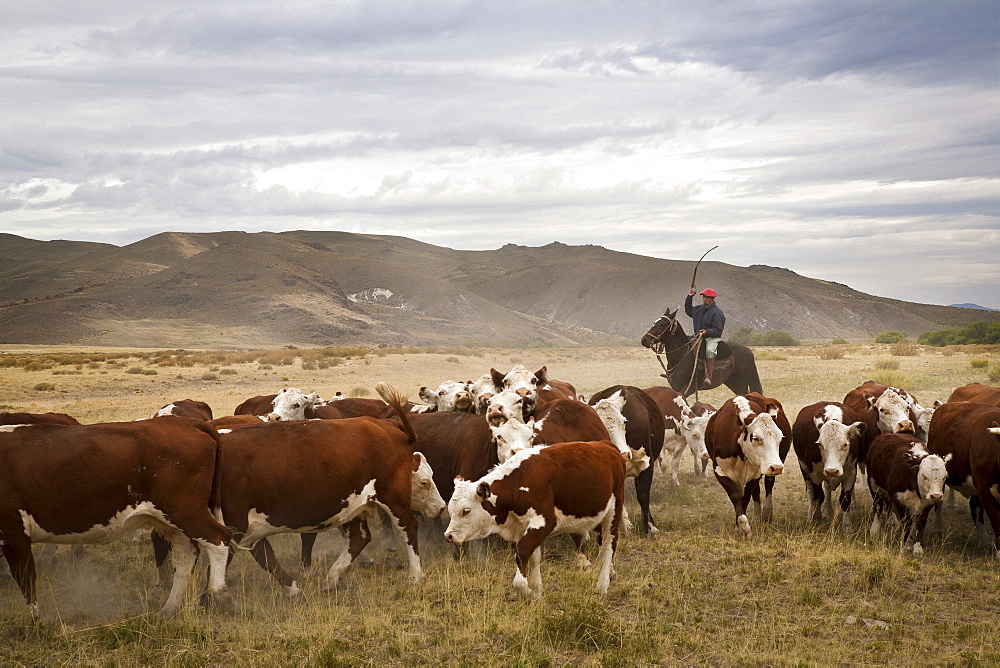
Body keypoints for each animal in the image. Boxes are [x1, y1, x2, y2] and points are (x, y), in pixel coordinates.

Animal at [0, 420, 232, 620]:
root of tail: (187, 422)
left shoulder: (13, 533)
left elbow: (26, 580)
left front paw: (36, 622)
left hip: (184, 512)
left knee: (219, 539)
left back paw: (218, 594)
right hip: (170, 520)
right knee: (186, 554)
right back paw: (169, 609)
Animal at [446, 440, 624, 596]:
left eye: (466, 510)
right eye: (450, 510)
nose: (448, 536)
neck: (518, 483)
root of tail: (607, 445)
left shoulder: (544, 522)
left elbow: (522, 553)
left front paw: (526, 591)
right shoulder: (523, 527)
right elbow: (534, 557)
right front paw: (537, 590)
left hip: (614, 512)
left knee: (609, 544)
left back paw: (602, 585)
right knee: (602, 542)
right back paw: (611, 573)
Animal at [704, 392, 788, 536]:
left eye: (780, 437)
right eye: (755, 438)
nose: (776, 467)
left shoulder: (756, 474)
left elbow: (745, 497)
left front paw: (742, 527)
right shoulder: (720, 472)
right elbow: (735, 496)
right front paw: (742, 526)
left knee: (768, 484)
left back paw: (766, 514)